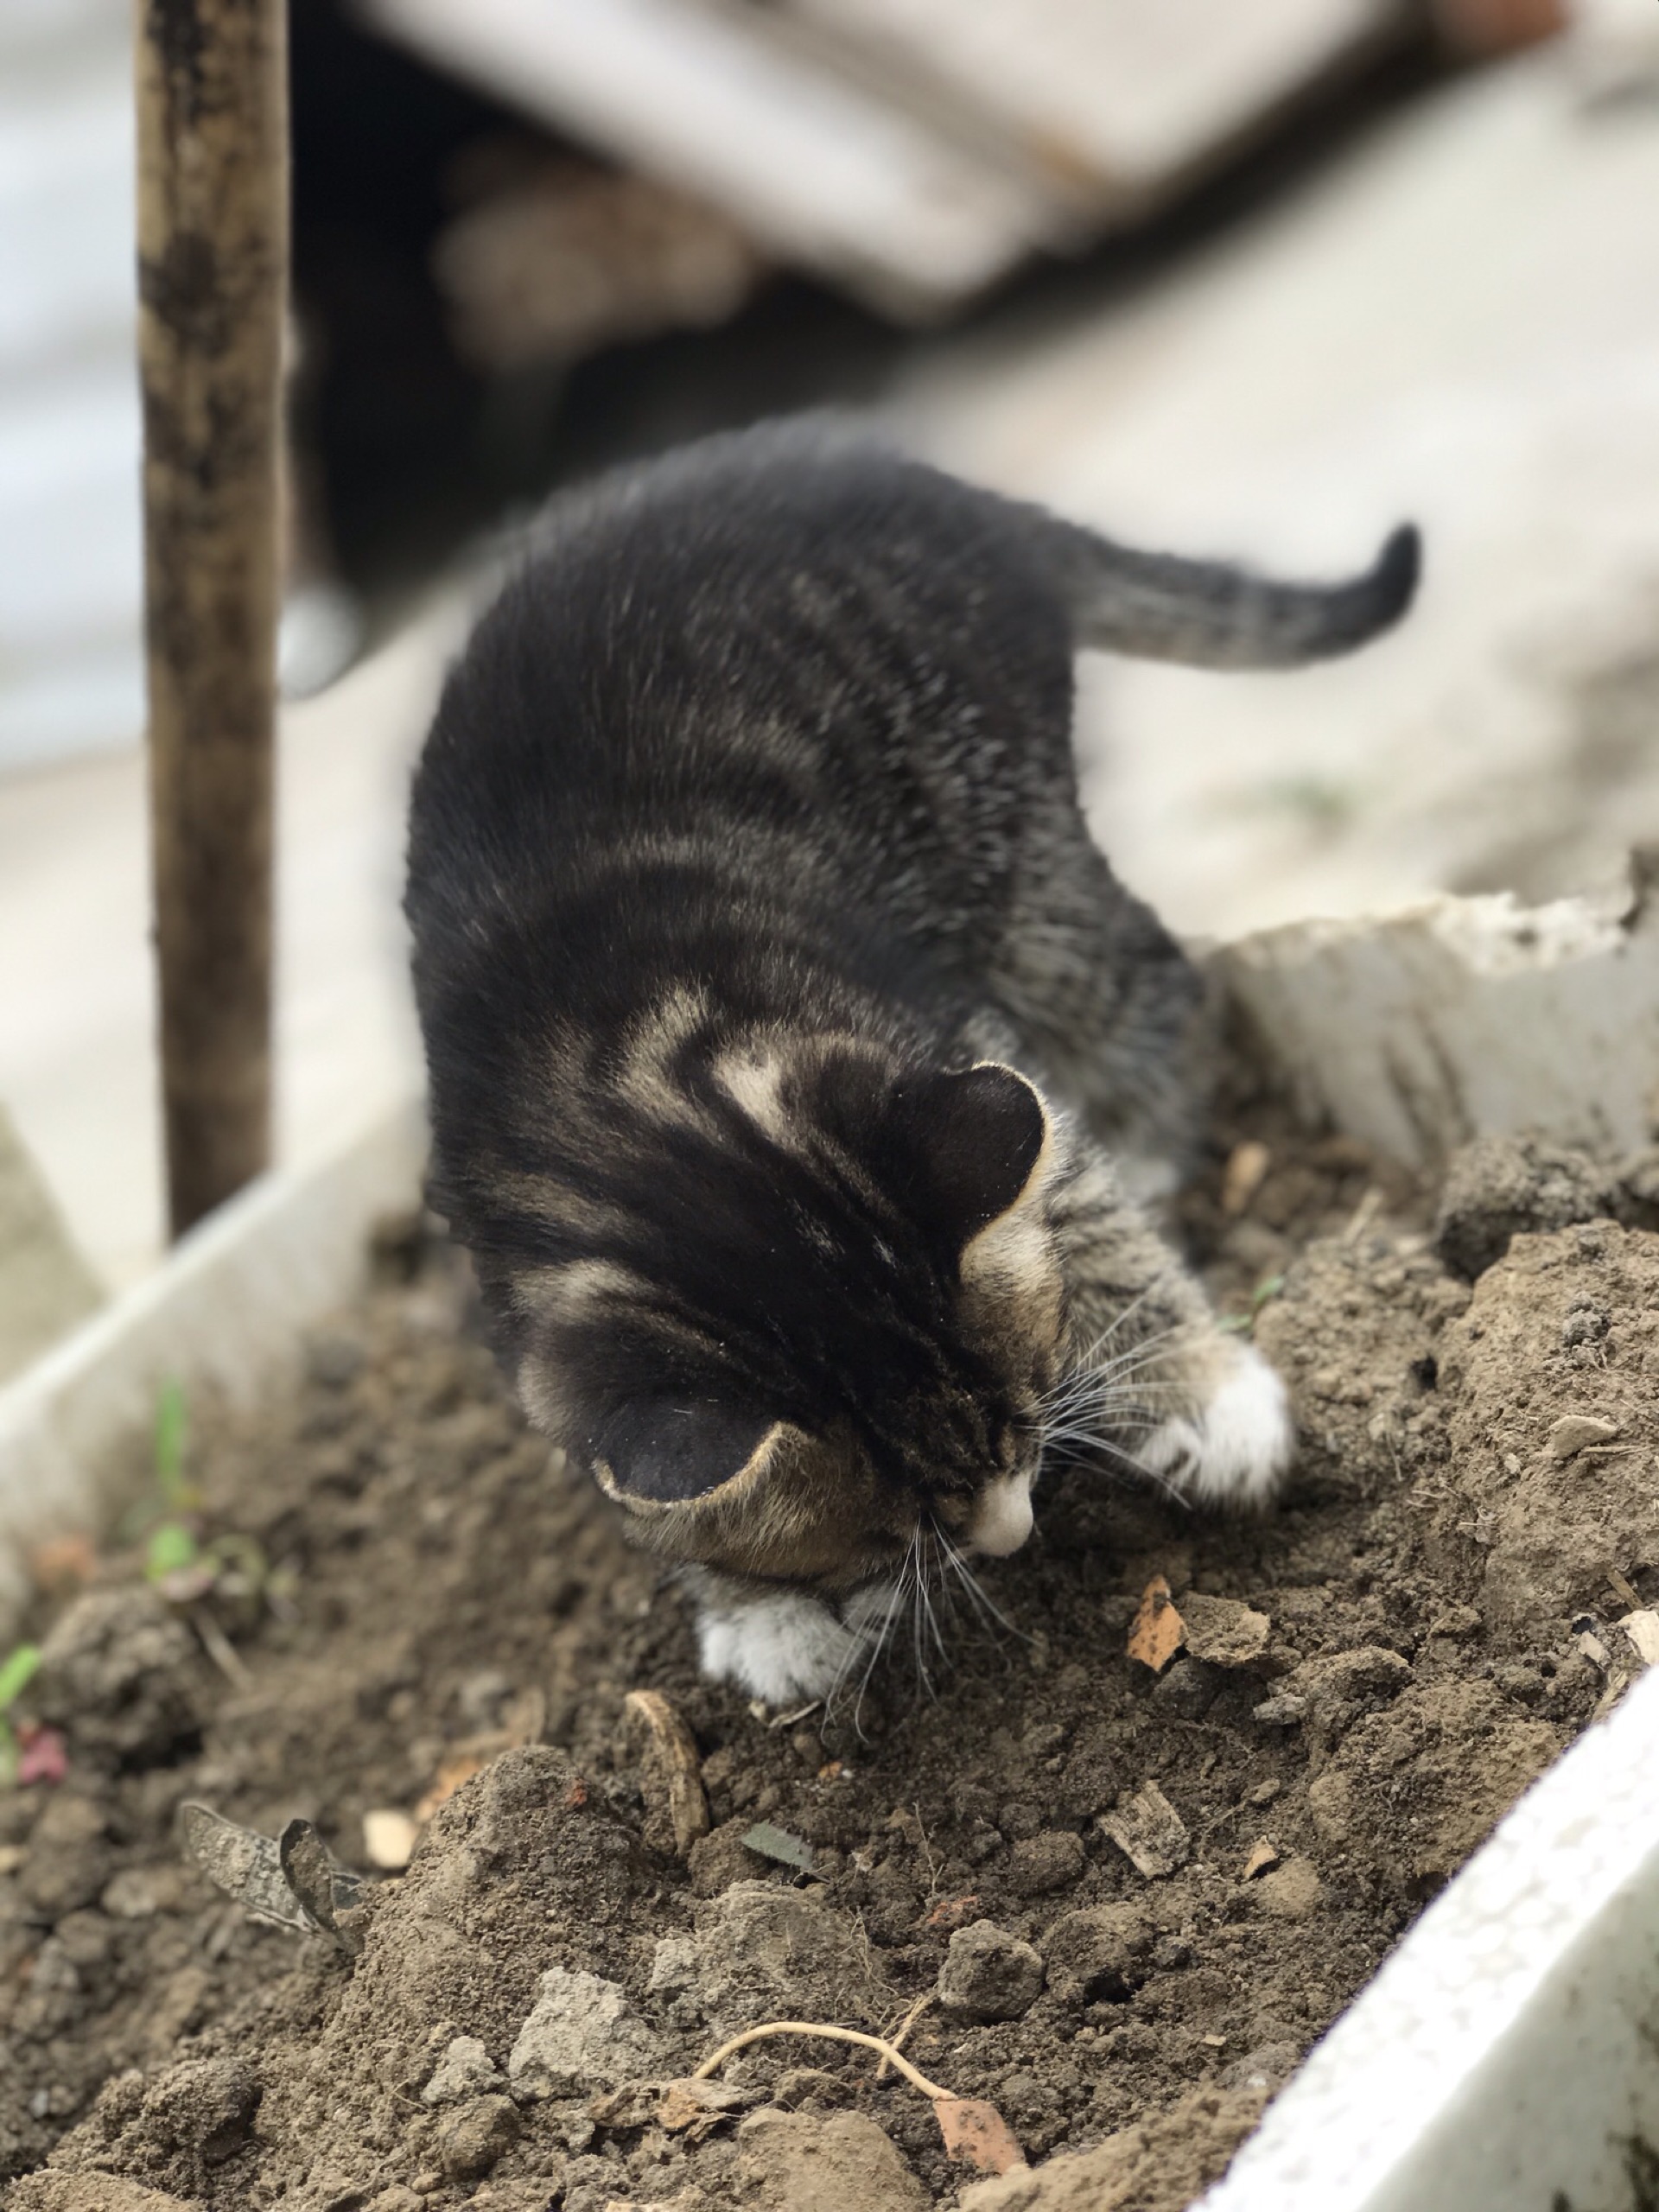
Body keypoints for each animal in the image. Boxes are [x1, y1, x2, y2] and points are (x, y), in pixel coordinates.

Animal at [409, 422, 1424, 1699]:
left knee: (1146, 974)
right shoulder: (528, 1310)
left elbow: (1077, 1191)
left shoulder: (937, 1045)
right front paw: (758, 1609)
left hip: (1002, 825)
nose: (1013, 1534)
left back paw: (1150, 1137)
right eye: (897, 1526)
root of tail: (952, 493)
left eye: (1031, 1403)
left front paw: (1205, 1390)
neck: (613, 1069)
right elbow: (612, 1468)